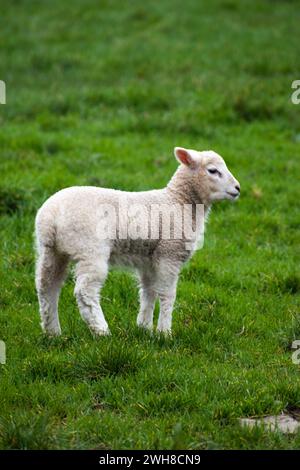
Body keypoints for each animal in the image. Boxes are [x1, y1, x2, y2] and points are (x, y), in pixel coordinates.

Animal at [35, 147, 240, 334]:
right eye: (213, 170)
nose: (238, 189)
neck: (178, 201)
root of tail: (51, 217)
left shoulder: (148, 259)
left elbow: (148, 292)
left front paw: (144, 328)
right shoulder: (169, 254)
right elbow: (167, 294)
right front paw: (164, 332)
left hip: (50, 250)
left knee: (47, 286)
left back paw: (53, 332)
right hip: (90, 249)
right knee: (85, 291)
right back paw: (102, 331)